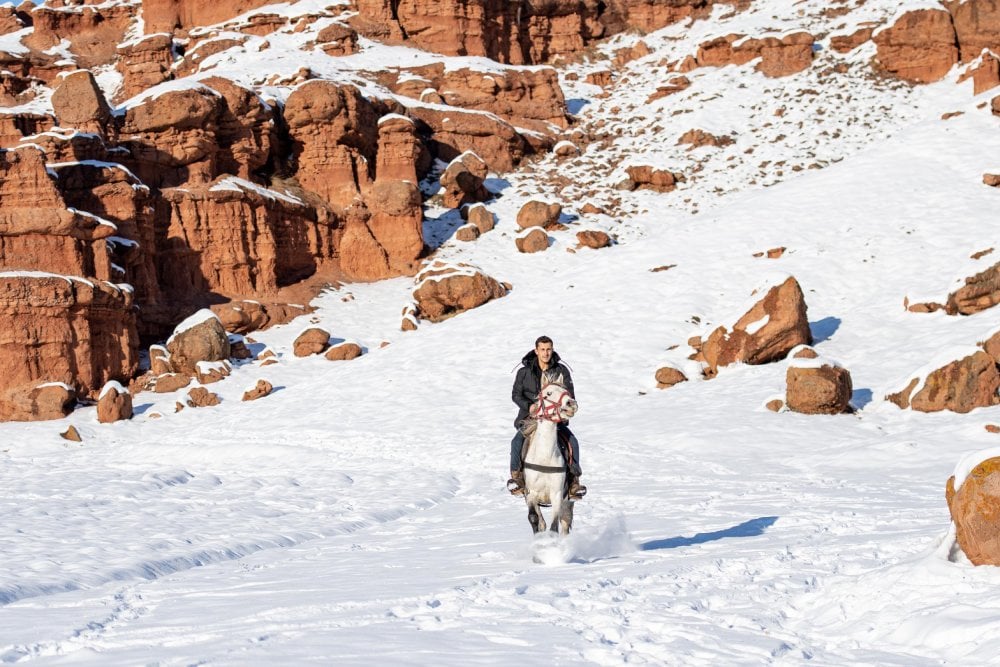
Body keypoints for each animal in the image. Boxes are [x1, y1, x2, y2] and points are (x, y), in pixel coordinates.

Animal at [524, 374, 580, 536]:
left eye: (566, 391)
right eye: (548, 393)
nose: (571, 404)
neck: (544, 458)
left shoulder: (557, 495)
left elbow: (554, 526)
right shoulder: (531, 494)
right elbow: (535, 519)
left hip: (568, 501)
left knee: (565, 523)